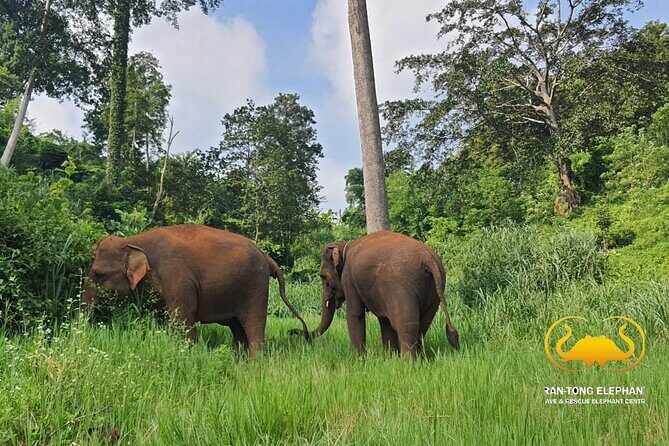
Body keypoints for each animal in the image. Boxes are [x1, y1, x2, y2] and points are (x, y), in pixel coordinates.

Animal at [81, 224, 310, 357]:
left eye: (98, 274)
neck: (133, 240)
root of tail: (266, 256)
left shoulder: (176, 276)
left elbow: (182, 317)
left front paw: (187, 356)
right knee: (237, 328)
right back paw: (237, 362)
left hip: (256, 286)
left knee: (253, 325)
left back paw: (254, 366)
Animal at [295, 231, 459, 358]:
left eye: (323, 277)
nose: (293, 332)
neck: (344, 246)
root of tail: (427, 257)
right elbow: (384, 320)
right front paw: (390, 358)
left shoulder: (349, 278)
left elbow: (355, 314)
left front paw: (359, 360)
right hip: (435, 290)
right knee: (422, 325)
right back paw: (418, 359)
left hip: (402, 288)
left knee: (406, 324)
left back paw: (409, 363)